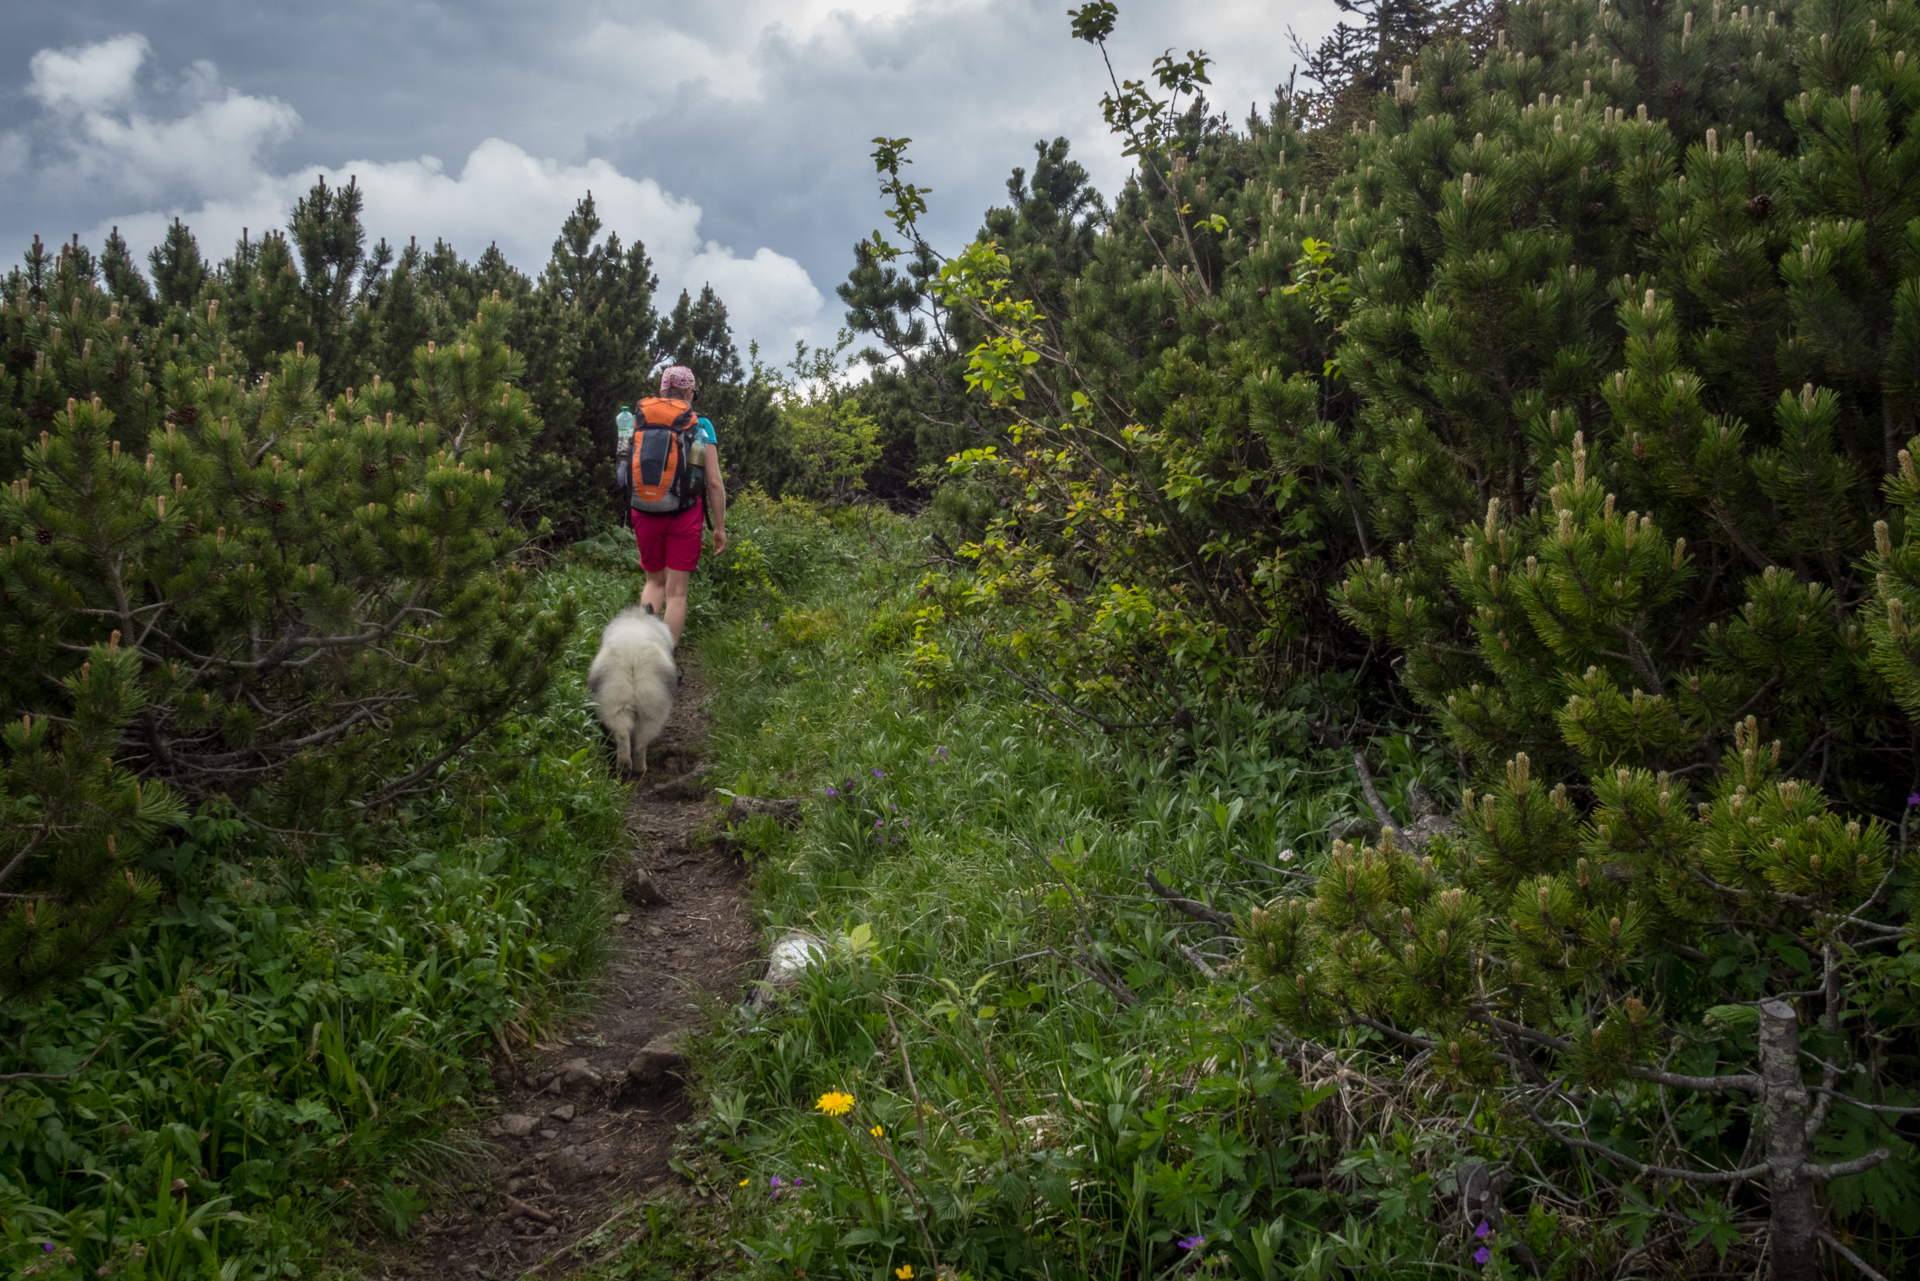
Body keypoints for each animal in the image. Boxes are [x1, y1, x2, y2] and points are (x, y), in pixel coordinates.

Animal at [587, 606, 679, 775]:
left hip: (616, 704)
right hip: (650, 711)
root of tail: (632, 657)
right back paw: (639, 768)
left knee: (624, 736)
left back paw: (625, 767)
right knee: (640, 743)